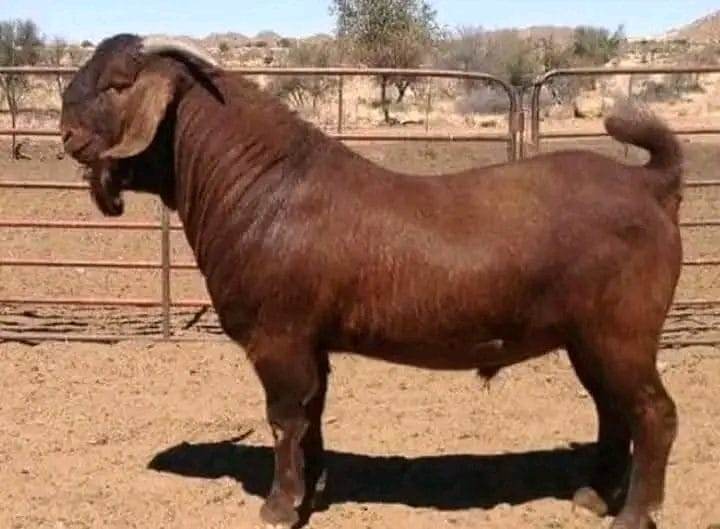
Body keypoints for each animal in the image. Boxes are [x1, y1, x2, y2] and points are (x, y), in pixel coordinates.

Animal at [60, 34, 683, 529]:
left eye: (116, 83)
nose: (65, 133)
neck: (264, 185)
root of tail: (649, 183)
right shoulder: (312, 342)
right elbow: (311, 414)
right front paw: (312, 487)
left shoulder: (278, 336)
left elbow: (284, 417)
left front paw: (279, 506)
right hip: (588, 340)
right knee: (612, 411)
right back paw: (593, 497)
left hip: (622, 334)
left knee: (654, 414)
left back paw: (632, 514)